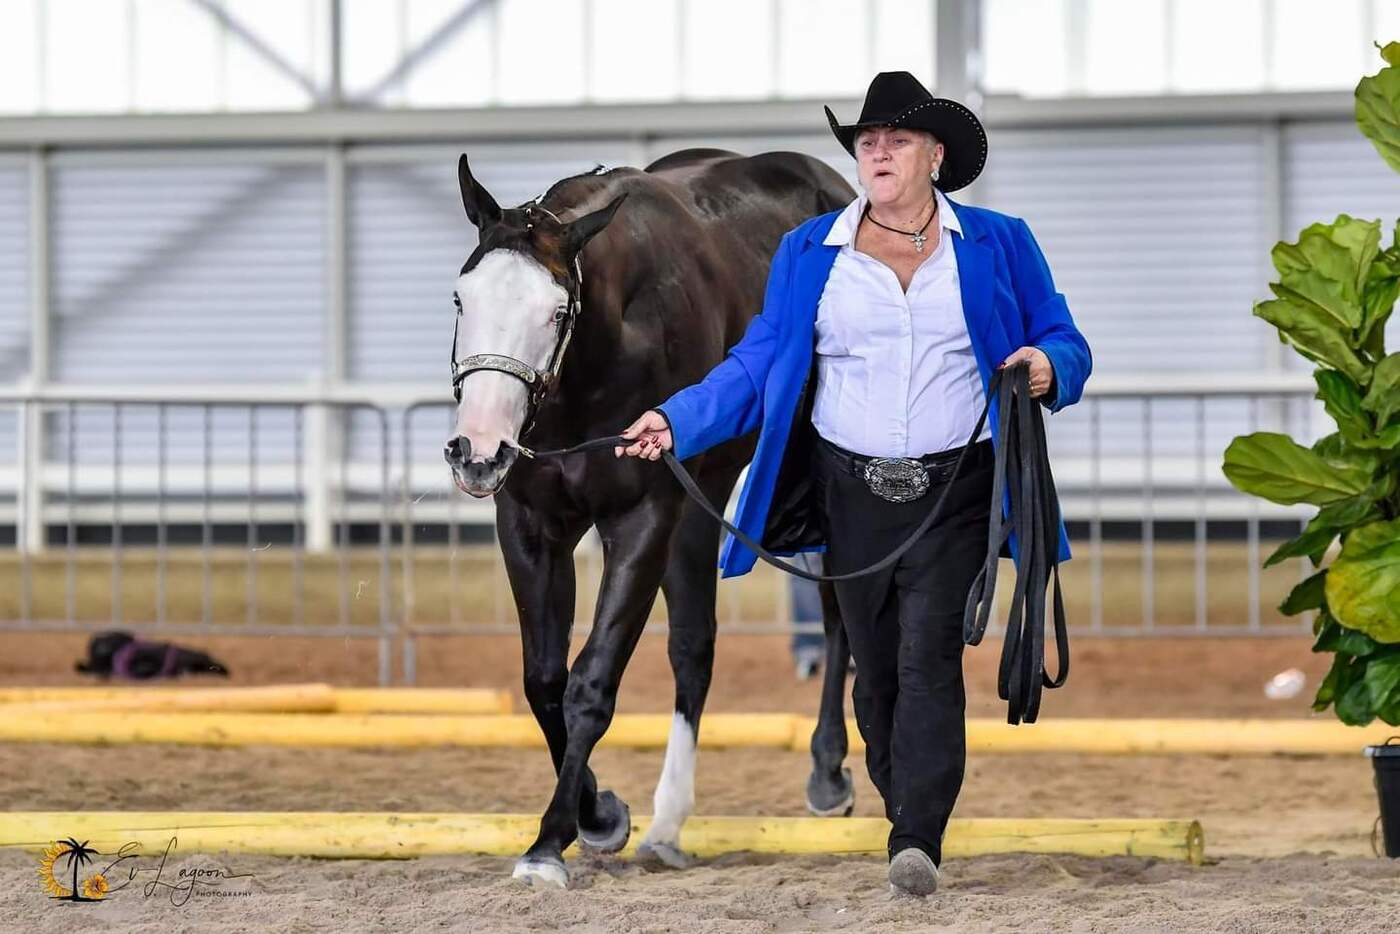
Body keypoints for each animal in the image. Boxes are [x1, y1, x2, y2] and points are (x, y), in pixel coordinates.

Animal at [445, 147, 857, 888]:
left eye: (556, 310)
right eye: (463, 298)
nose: (478, 450)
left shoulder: (641, 521)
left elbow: (591, 681)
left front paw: (550, 842)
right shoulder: (532, 526)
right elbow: (543, 680)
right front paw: (601, 814)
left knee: (839, 616)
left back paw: (827, 773)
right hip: (699, 507)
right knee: (694, 646)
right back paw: (667, 825)